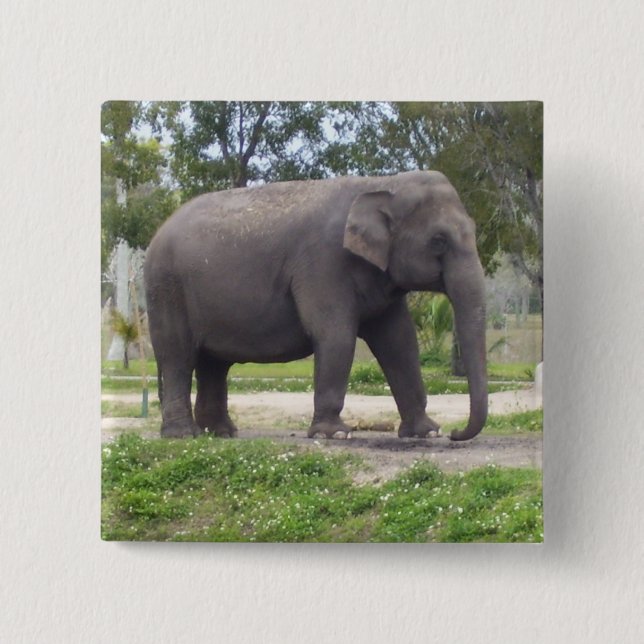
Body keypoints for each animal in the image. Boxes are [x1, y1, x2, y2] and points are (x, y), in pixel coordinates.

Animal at [144, 170, 487, 442]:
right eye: (439, 241)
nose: (455, 433)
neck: (383, 182)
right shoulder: (323, 263)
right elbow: (335, 334)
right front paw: (334, 434)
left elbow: (400, 341)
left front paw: (426, 432)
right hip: (166, 289)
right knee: (177, 355)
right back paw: (183, 435)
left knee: (213, 363)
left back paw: (222, 433)